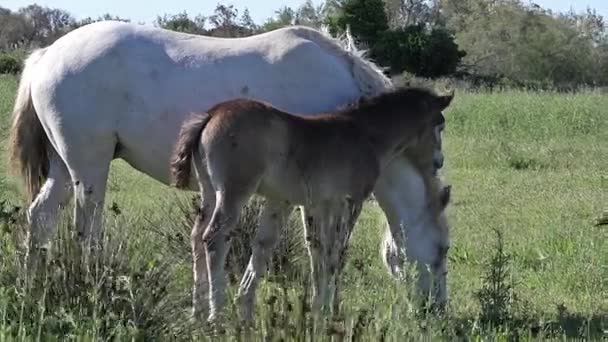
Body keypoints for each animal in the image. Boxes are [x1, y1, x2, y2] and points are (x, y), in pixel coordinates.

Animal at [169, 86, 454, 324]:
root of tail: (211, 114)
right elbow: (335, 255)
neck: (365, 134)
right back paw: (216, 316)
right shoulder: (349, 202)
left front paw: (317, 309)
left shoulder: (310, 204)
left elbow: (314, 254)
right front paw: (329, 312)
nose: (439, 161)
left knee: (196, 237)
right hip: (233, 191)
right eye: (440, 126)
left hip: (208, 192)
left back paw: (198, 312)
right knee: (214, 238)